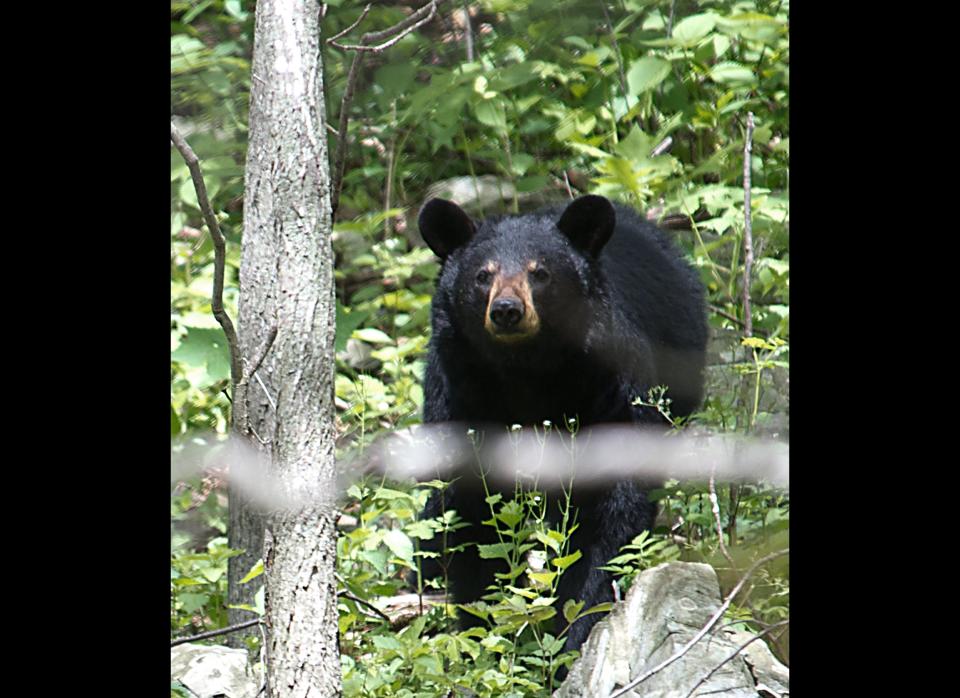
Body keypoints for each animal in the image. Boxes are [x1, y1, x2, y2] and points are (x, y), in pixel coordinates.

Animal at [412, 194, 704, 656]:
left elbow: (610, 511)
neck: (528, 370)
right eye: (482, 275)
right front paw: (487, 625)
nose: (507, 310)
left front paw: (571, 631)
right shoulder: (460, 392)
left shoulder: (610, 387)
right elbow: (469, 510)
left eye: (540, 273)